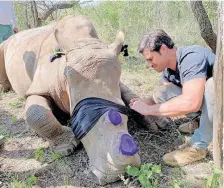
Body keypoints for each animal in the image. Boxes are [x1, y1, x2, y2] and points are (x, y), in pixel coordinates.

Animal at [0, 15, 168, 184]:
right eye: (80, 119)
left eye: (122, 110)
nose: (123, 170)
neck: (83, 42)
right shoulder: (39, 86)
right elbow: (36, 113)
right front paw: (65, 147)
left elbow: (130, 95)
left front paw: (155, 122)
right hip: (8, 45)